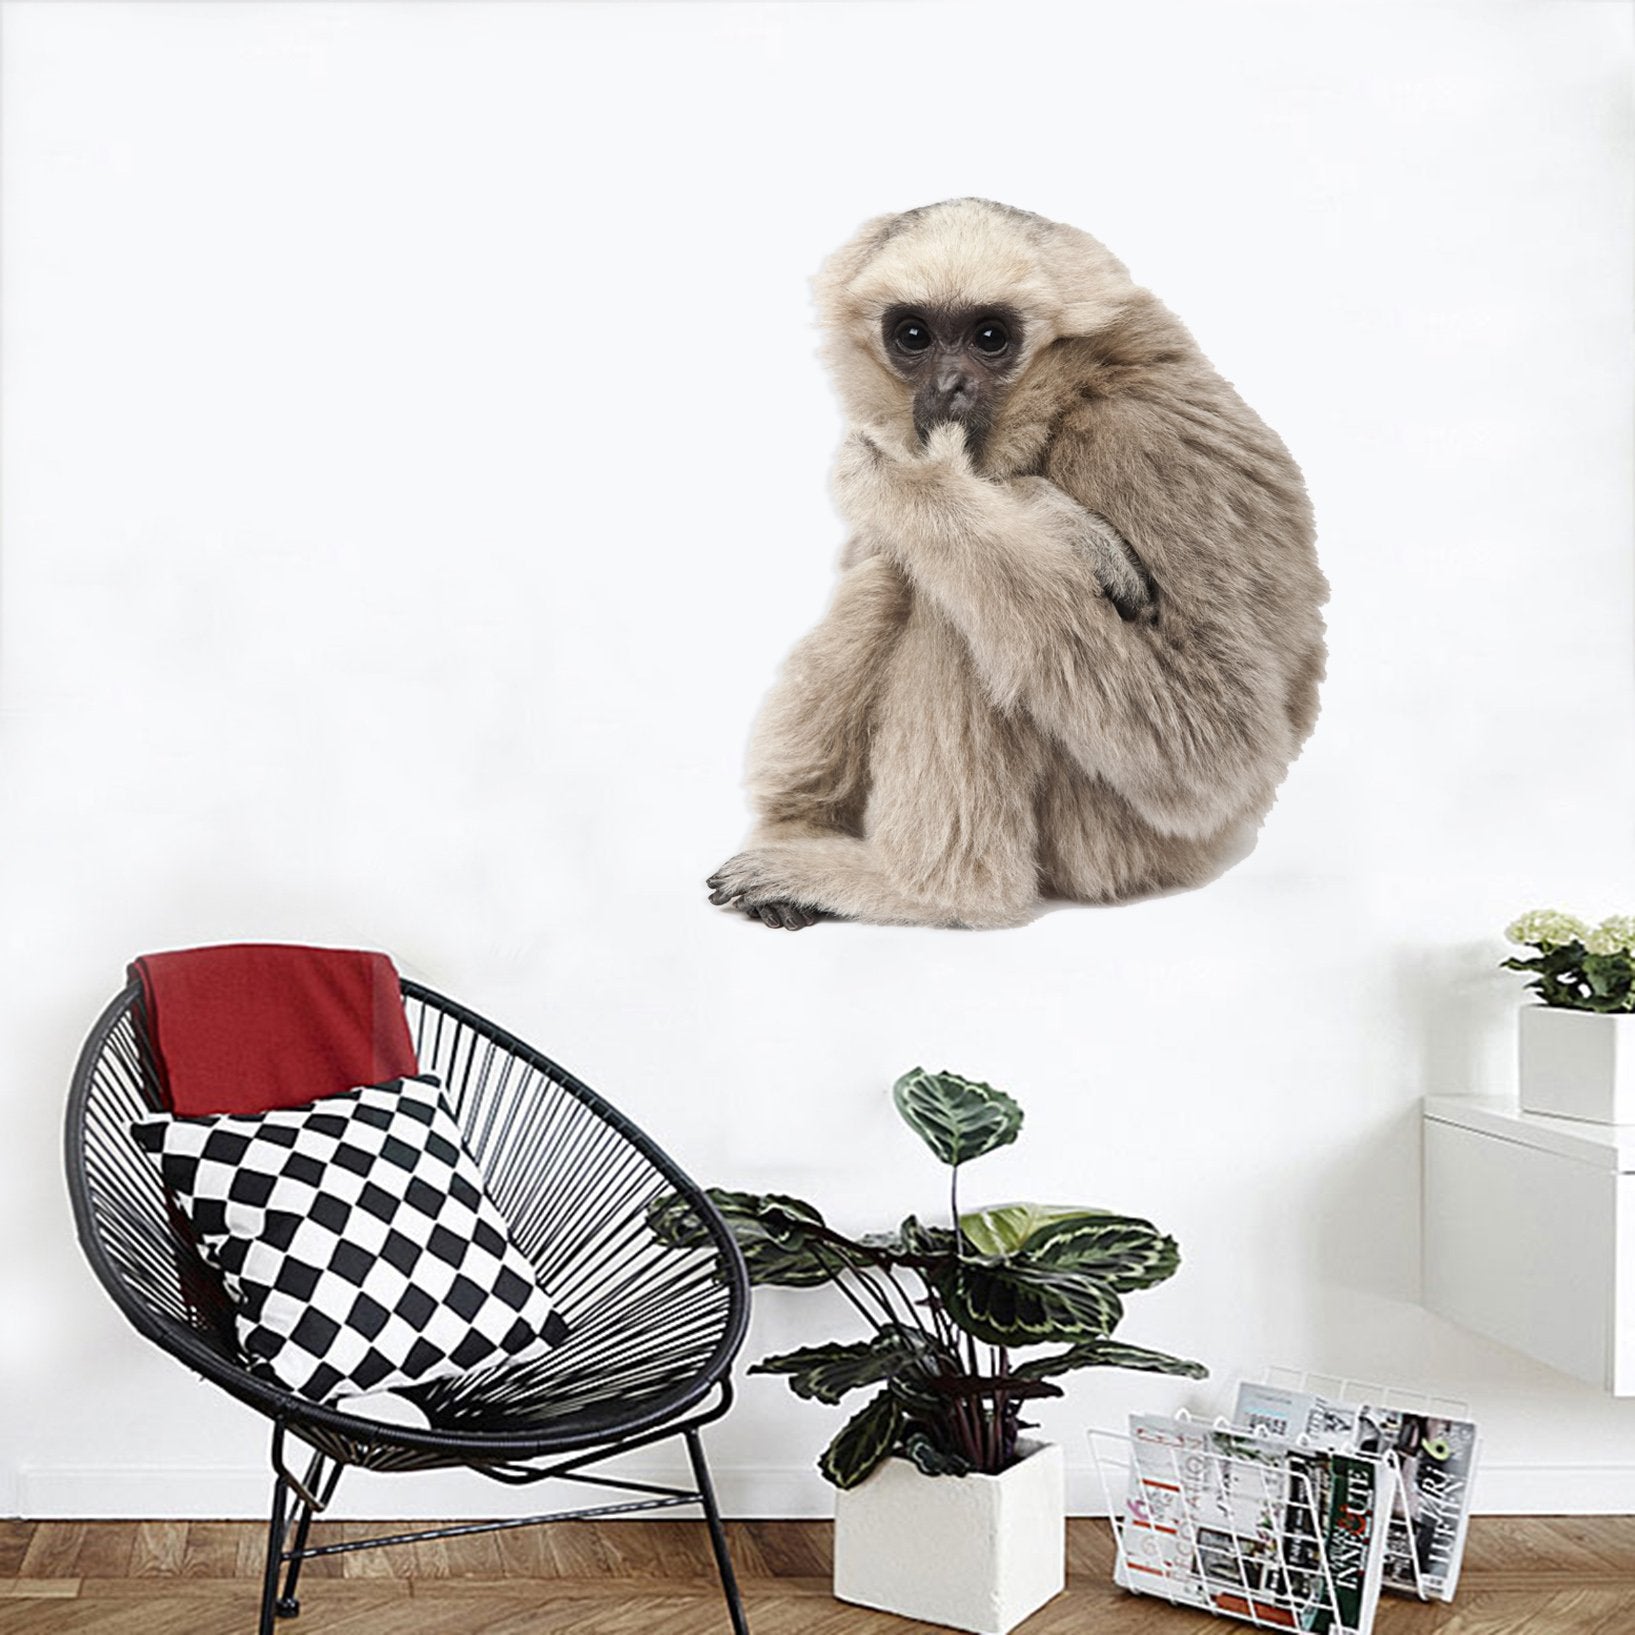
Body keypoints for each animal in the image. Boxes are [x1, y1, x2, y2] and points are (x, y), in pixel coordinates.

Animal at [707, 198, 1327, 930]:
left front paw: (972, 491)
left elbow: (1214, 748)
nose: (949, 384)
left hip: (1121, 845)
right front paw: (1049, 512)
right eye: (913, 335)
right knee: (892, 573)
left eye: (989, 337)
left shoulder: (1145, 445)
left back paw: (930, 890)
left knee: (954, 602)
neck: (1073, 394)